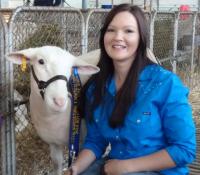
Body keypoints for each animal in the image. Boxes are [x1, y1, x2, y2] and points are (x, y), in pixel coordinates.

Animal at [6, 46, 100, 175]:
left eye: (71, 68)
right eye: (41, 61)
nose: (59, 101)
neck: (51, 118)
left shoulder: (82, 143)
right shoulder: (53, 143)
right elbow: (57, 164)